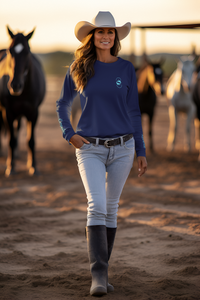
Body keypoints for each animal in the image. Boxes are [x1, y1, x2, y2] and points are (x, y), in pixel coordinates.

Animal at [0, 27, 45, 177]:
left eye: (27, 51)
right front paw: (10, 166)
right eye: (10, 51)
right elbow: (11, 140)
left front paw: (33, 167)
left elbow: (31, 141)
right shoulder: (8, 112)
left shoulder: (34, 113)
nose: (15, 85)